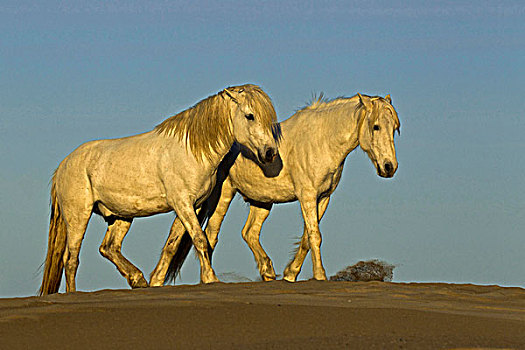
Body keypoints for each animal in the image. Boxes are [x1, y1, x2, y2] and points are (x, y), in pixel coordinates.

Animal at [40, 83, 282, 294]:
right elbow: (200, 239)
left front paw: (157, 281)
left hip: (121, 215)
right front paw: (211, 279)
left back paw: (138, 280)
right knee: (71, 259)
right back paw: (73, 293)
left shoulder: (190, 206)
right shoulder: (182, 203)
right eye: (250, 116)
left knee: (108, 247)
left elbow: (172, 245)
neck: (191, 150)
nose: (269, 153)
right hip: (78, 215)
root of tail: (63, 166)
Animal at [149, 92, 400, 284]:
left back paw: (267, 271)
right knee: (210, 235)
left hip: (262, 200)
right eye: (376, 127)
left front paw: (290, 274)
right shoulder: (307, 195)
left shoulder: (323, 198)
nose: (390, 167)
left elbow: (307, 238)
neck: (322, 140)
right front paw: (320, 276)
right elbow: (315, 235)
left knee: (248, 232)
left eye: (395, 128)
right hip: (222, 196)